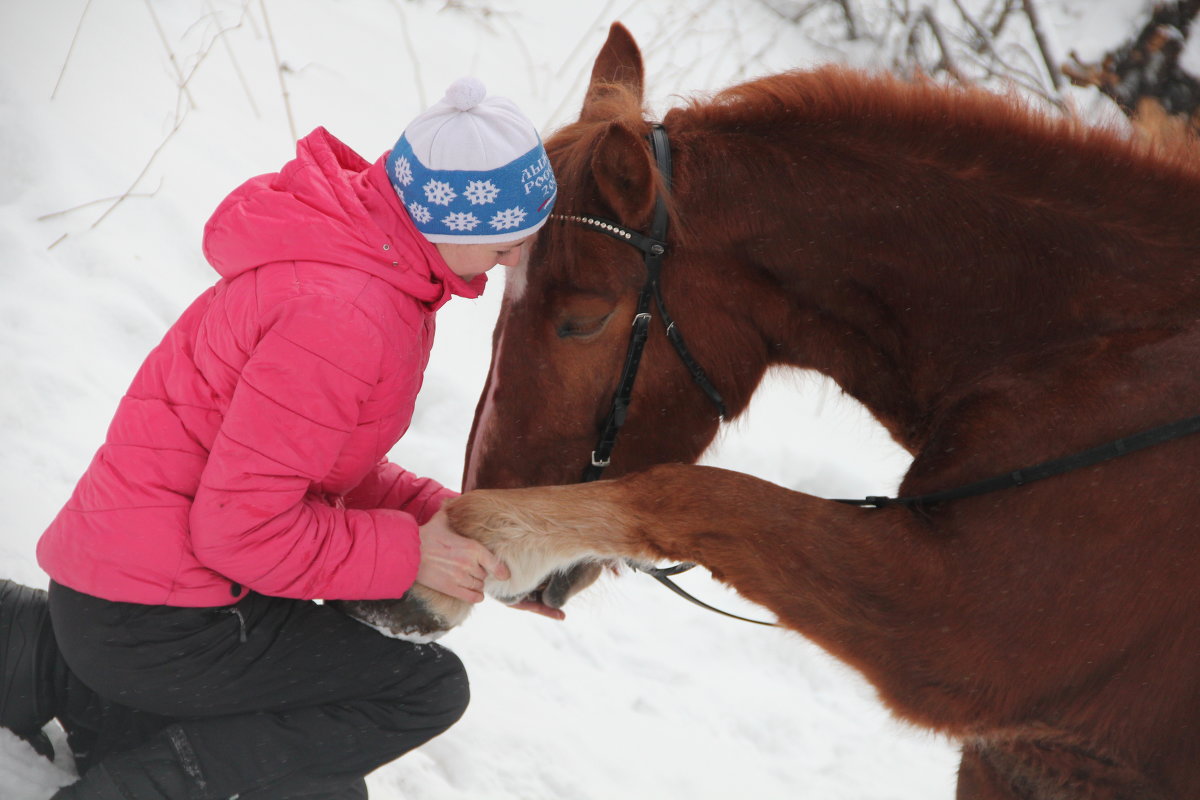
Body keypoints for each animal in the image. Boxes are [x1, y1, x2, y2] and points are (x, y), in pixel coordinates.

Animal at [345, 23, 1200, 800]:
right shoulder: (1009, 754)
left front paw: (472, 546)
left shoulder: (953, 632)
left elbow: (688, 494)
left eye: (582, 318)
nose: (487, 479)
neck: (1090, 348)